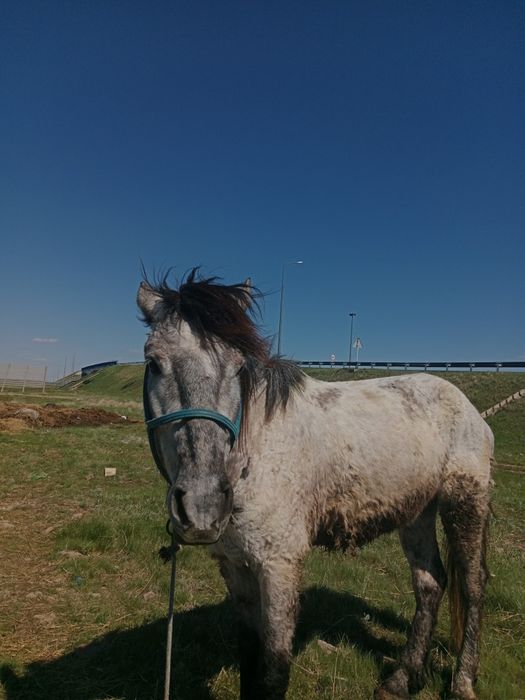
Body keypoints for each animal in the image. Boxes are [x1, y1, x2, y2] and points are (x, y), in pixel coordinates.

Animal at [138, 269, 493, 700]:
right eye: (153, 362)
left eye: (238, 367)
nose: (202, 506)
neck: (254, 459)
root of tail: (467, 406)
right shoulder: (235, 566)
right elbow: (248, 656)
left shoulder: (279, 565)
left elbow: (274, 670)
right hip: (416, 513)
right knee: (430, 584)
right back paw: (402, 679)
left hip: (465, 502)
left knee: (472, 587)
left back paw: (462, 682)